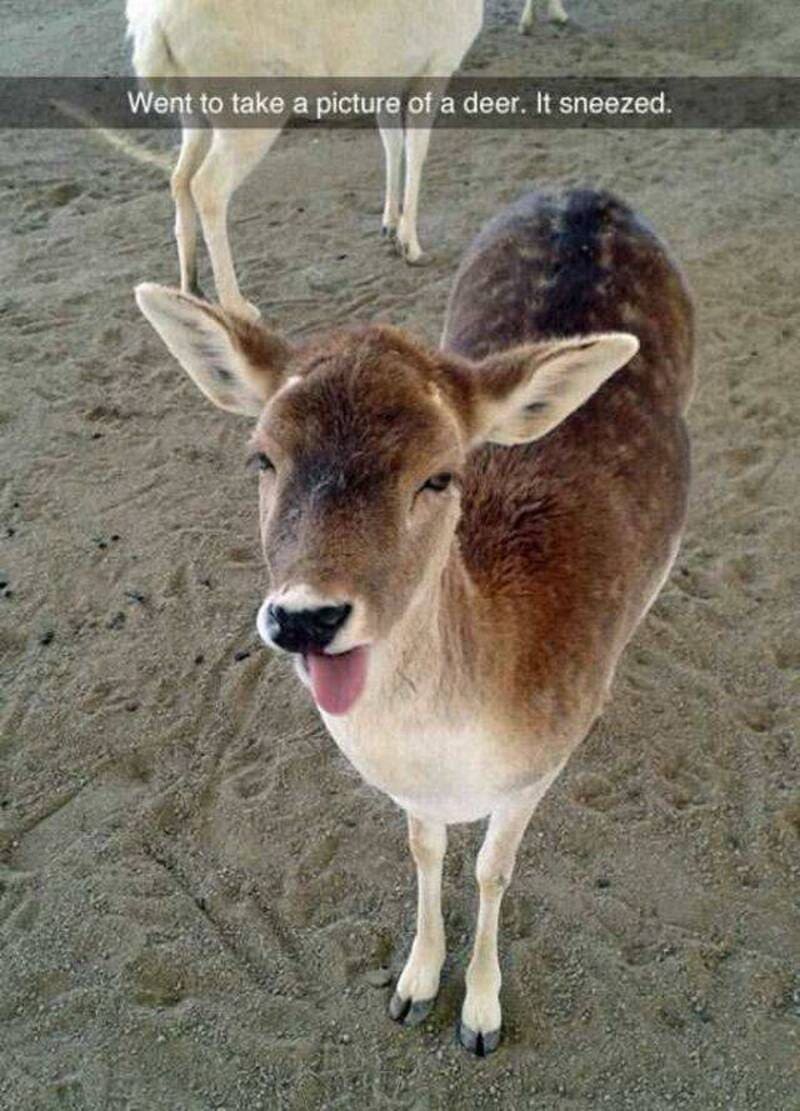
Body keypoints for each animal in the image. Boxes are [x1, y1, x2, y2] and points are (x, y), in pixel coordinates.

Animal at [125, 0, 483, 322]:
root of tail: (152, 27)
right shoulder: (437, 62)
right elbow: (417, 149)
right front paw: (412, 246)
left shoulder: (389, 76)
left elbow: (392, 143)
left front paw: (390, 226)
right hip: (249, 108)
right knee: (208, 185)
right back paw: (237, 306)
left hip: (192, 109)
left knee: (180, 178)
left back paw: (191, 289)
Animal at [135, 187, 694, 1054]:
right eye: (262, 456)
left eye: (439, 475)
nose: (307, 616)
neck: (460, 752)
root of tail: (587, 190)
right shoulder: (416, 794)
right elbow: (423, 847)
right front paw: (414, 983)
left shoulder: (538, 766)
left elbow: (493, 867)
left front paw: (481, 1013)